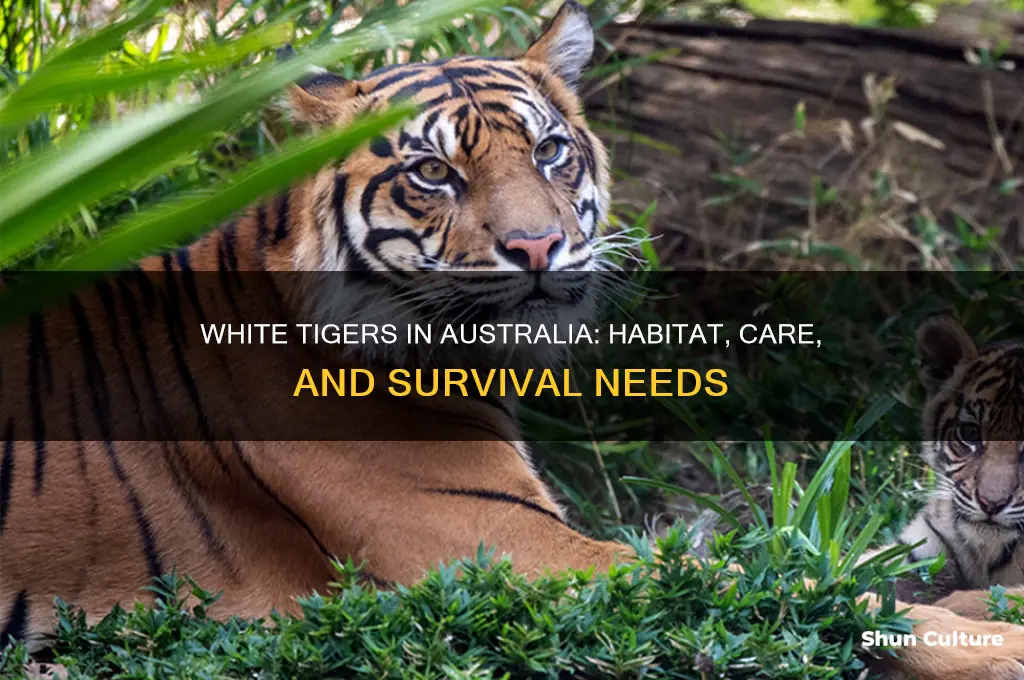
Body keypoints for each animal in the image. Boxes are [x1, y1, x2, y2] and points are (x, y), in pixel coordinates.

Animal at [1, 4, 1022, 677]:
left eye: (549, 151)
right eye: (432, 173)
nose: (538, 247)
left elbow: (839, 567)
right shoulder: (515, 551)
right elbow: (804, 586)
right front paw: (998, 643)